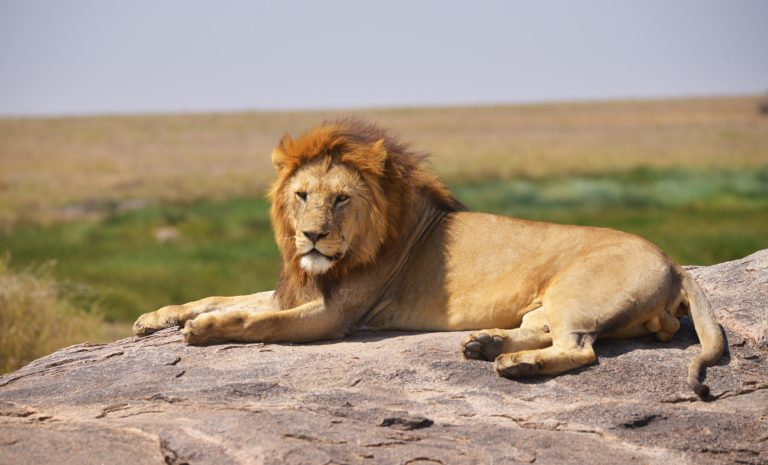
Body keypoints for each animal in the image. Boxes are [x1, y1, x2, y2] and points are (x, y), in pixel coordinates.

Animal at [133, 119, 724, 398]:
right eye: (302, 195)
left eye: (340, 199)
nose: (311, 237)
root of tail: (675, 262)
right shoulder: (298, 288)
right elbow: (224, 295)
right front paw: (156, 318)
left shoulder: (335, 315)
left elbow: (260, 321)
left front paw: (206, 330)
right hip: (548, 302)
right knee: (542, 331)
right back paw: (486, 345)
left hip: (576, 294)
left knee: (580, 349)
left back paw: (516, 366)